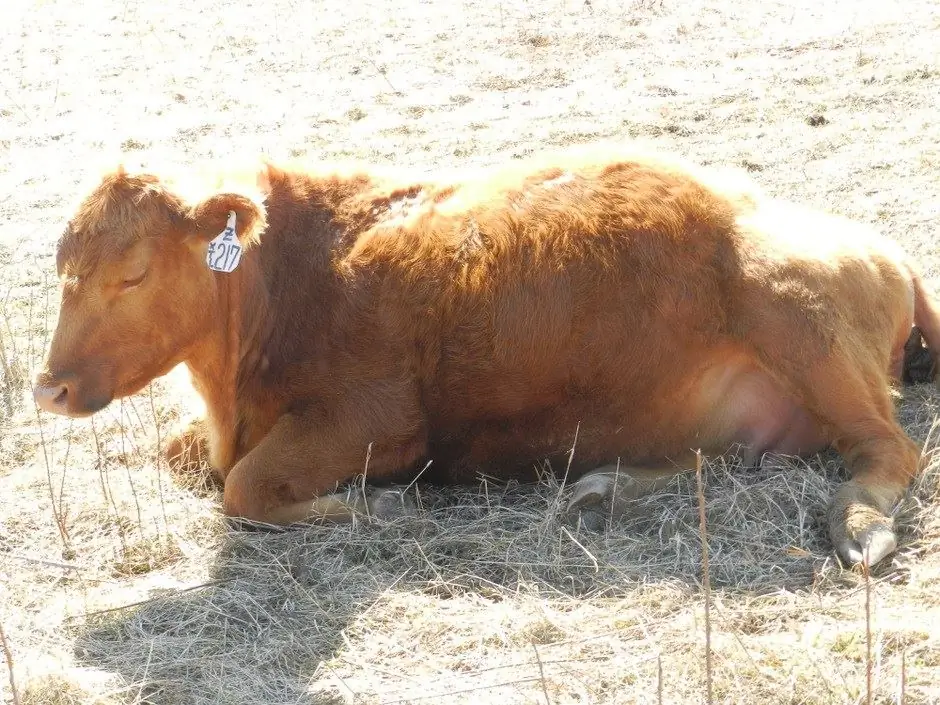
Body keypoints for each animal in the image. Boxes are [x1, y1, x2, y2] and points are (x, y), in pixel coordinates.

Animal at [31, 144, 940, 568]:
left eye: (132, 272)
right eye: (61, 265)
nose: (49, 389)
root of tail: (879, 246)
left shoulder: (377, 417)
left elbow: (244, 486)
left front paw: (381, 507)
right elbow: (186, 453)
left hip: (801, 318)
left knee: (889, 448)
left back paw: (860, 527)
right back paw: (602, 489)